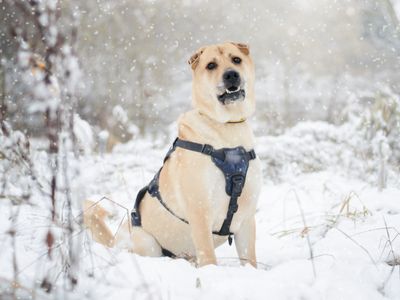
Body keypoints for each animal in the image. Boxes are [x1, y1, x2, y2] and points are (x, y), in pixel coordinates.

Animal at [83, 41, 262, 268]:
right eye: (211, 65)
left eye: (236, 59)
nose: (231, 75)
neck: (227, 127)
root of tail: (114, 244)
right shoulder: (199, 212)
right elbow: (208, 256)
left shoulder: (246, 217)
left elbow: (249, 258)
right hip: (146, 241)